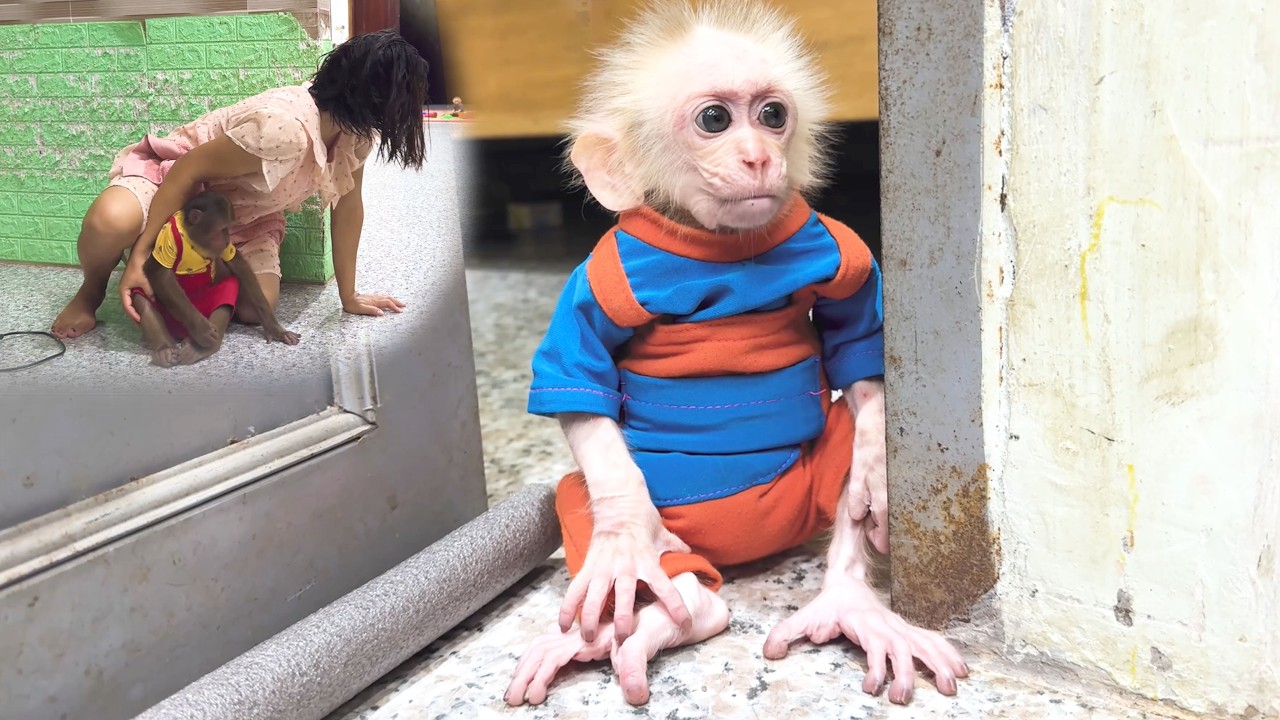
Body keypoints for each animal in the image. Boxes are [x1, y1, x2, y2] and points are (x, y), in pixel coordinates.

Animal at [129, 190, 300, 367]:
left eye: (228, 229)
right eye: (223, 228)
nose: (226, 240)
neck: (192, 238)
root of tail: (179, 333)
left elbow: (239, 266)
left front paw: (274, 328)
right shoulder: (167, 236)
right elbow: (158, 273)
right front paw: (202, 330)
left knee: (228, 289)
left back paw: (199, 349)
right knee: (141, 296)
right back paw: (165, 349)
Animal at [505, 0, 968, 709]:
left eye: (773, 115)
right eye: (715, 121)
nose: (757, 158)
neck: (716, 245)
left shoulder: (834, 242)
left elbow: (857, 348)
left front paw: (874, 457)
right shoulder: (602, 275)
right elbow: (577, 379)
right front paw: (624, 539)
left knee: (837, 467)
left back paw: (847, 600)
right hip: (657, 519)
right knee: (582, 500)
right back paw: (667, 608)